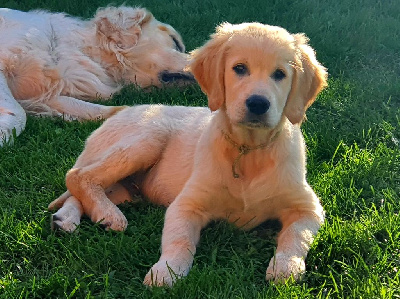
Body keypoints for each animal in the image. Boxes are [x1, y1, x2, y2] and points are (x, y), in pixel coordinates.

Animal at [47, 22, 328, 286]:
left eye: (280, 74)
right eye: (239, 68)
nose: (258, 104)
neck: (247, 151)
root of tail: (120, 111)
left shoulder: (308, 208)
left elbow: (296, 236)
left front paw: (286, 267)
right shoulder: (186, 204)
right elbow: (179, 239)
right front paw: (167, 271)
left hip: (124, 189)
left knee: (79, 188)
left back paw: (68, 217)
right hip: (150, 135)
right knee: (78, 175)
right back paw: (107, 215)